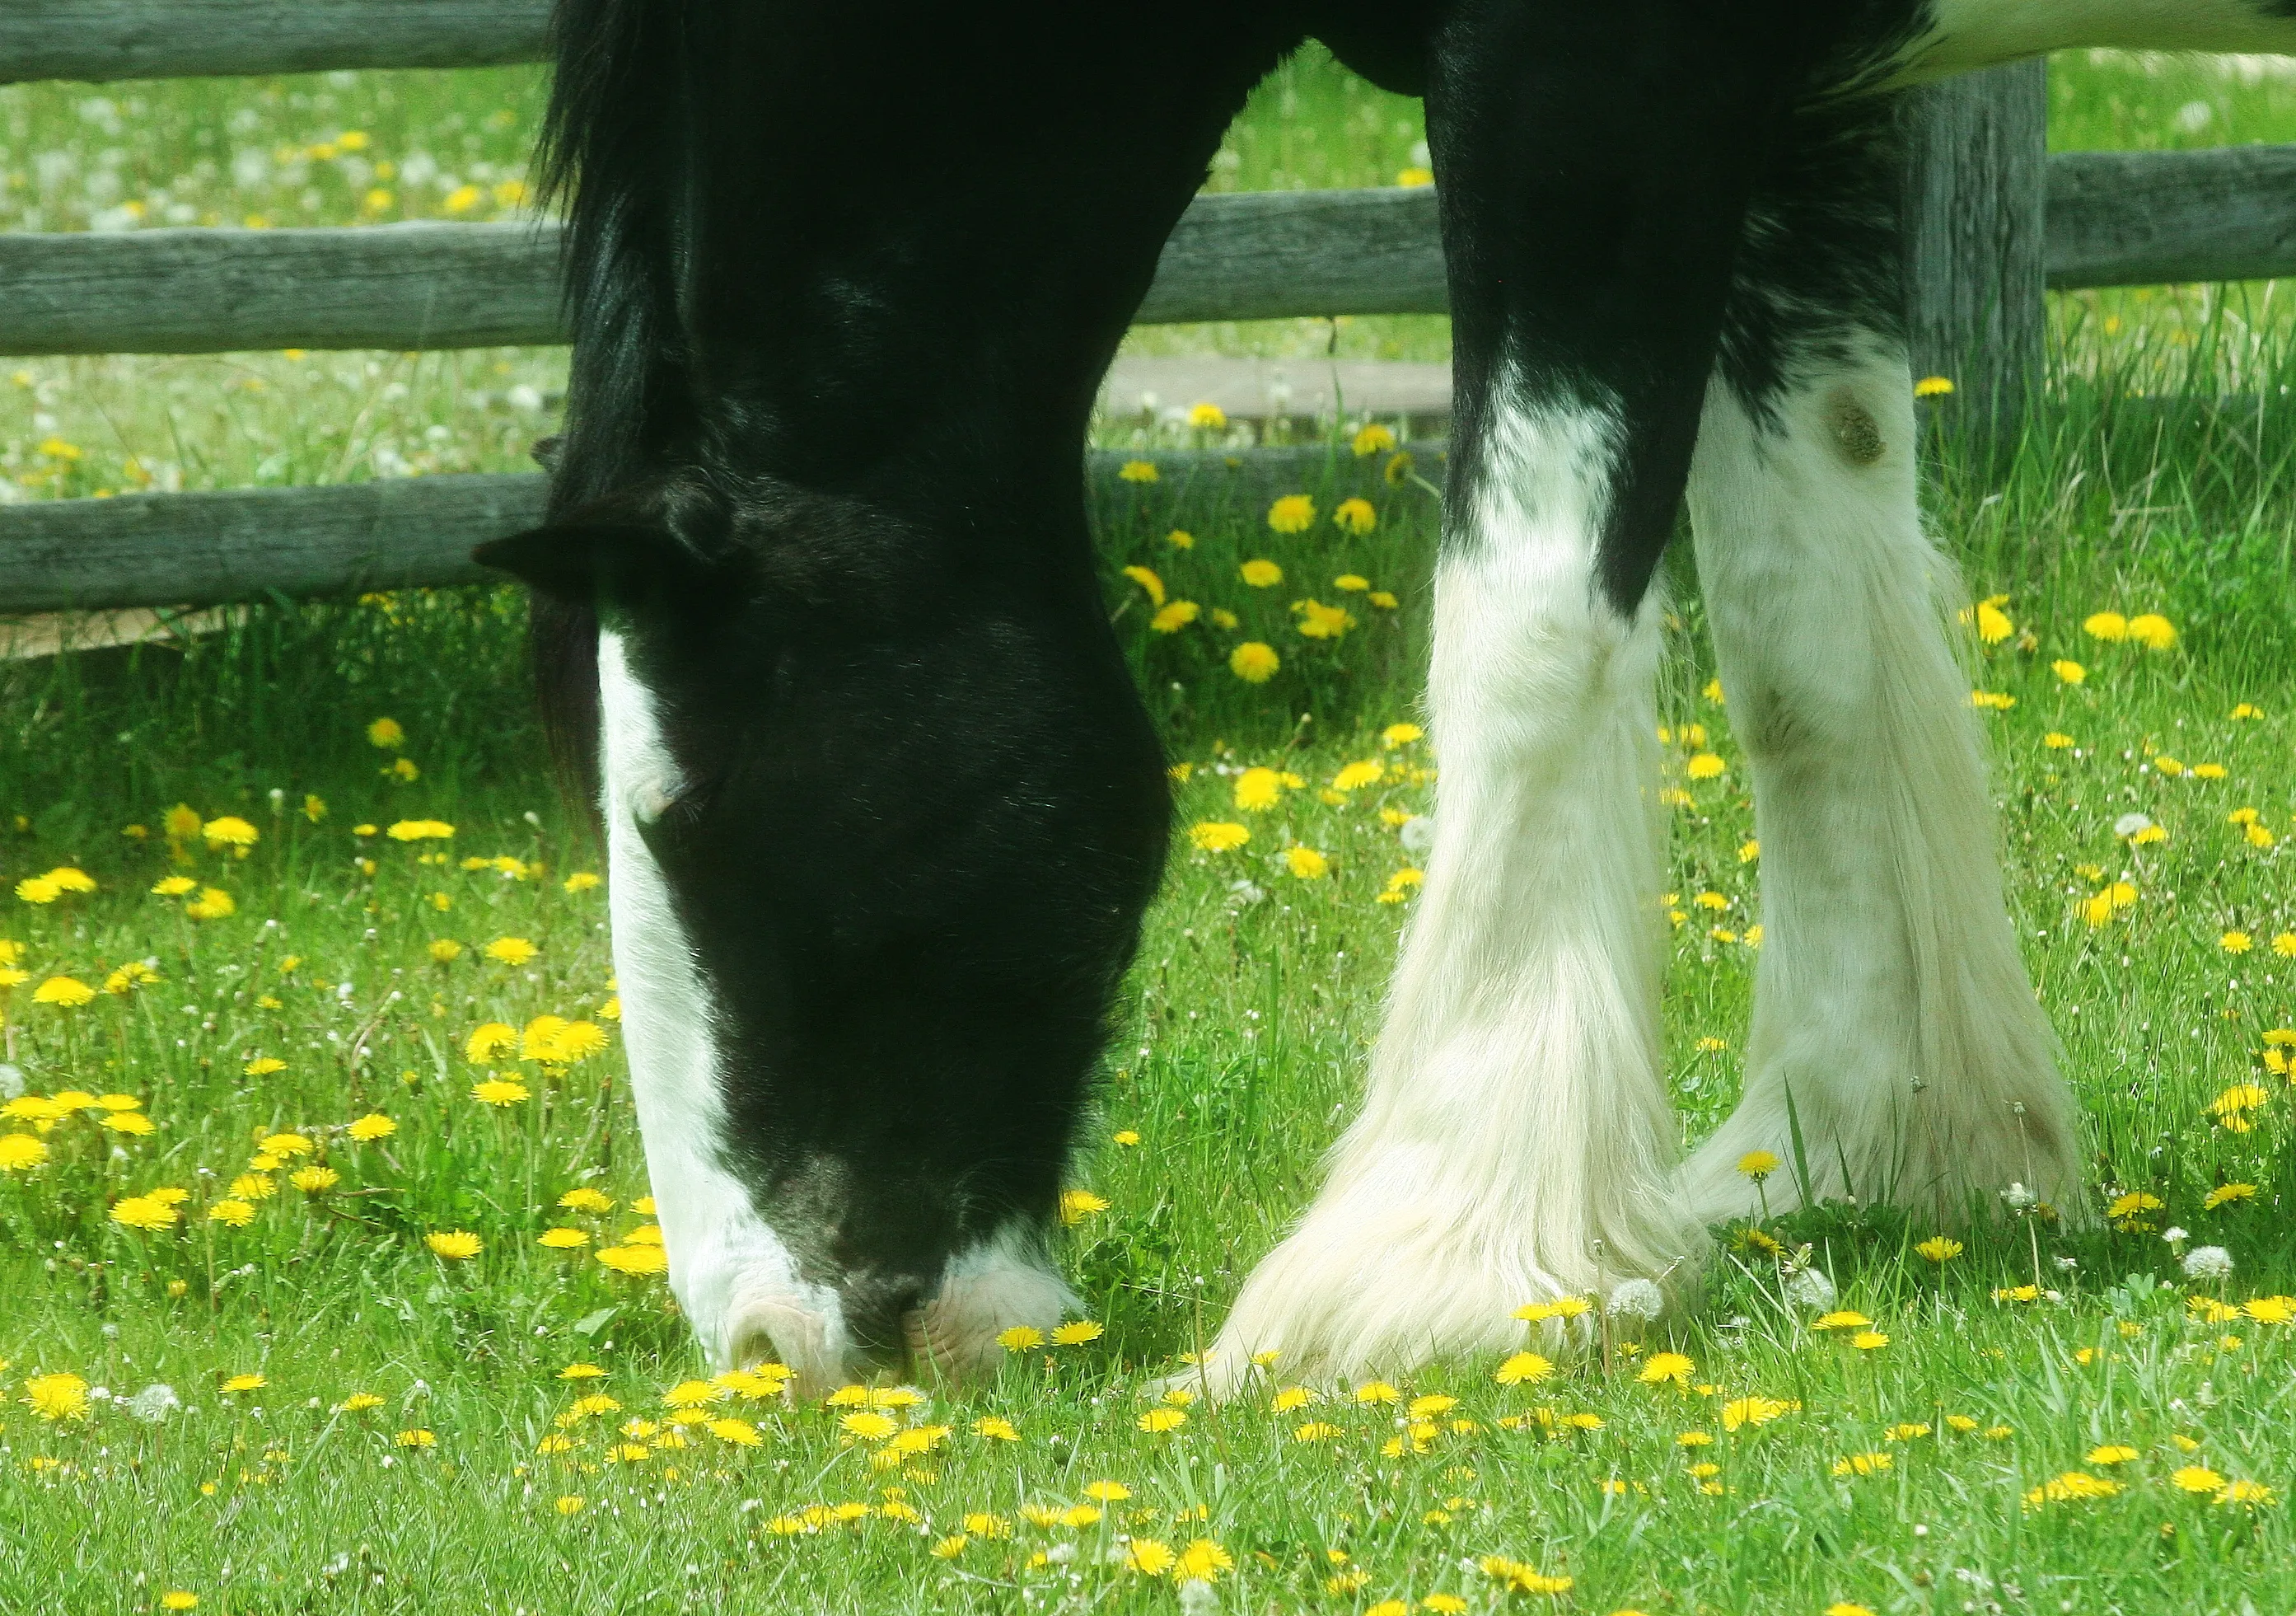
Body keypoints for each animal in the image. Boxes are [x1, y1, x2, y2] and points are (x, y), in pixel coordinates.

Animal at [475, 0, 2296, 1395]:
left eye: (682, 814)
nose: (768, 1338)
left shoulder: (1587, 79)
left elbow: (1527, 630)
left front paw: (1427, 1271)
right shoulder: (1797, 113)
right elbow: (1806, 620)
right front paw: (1861, 1144)